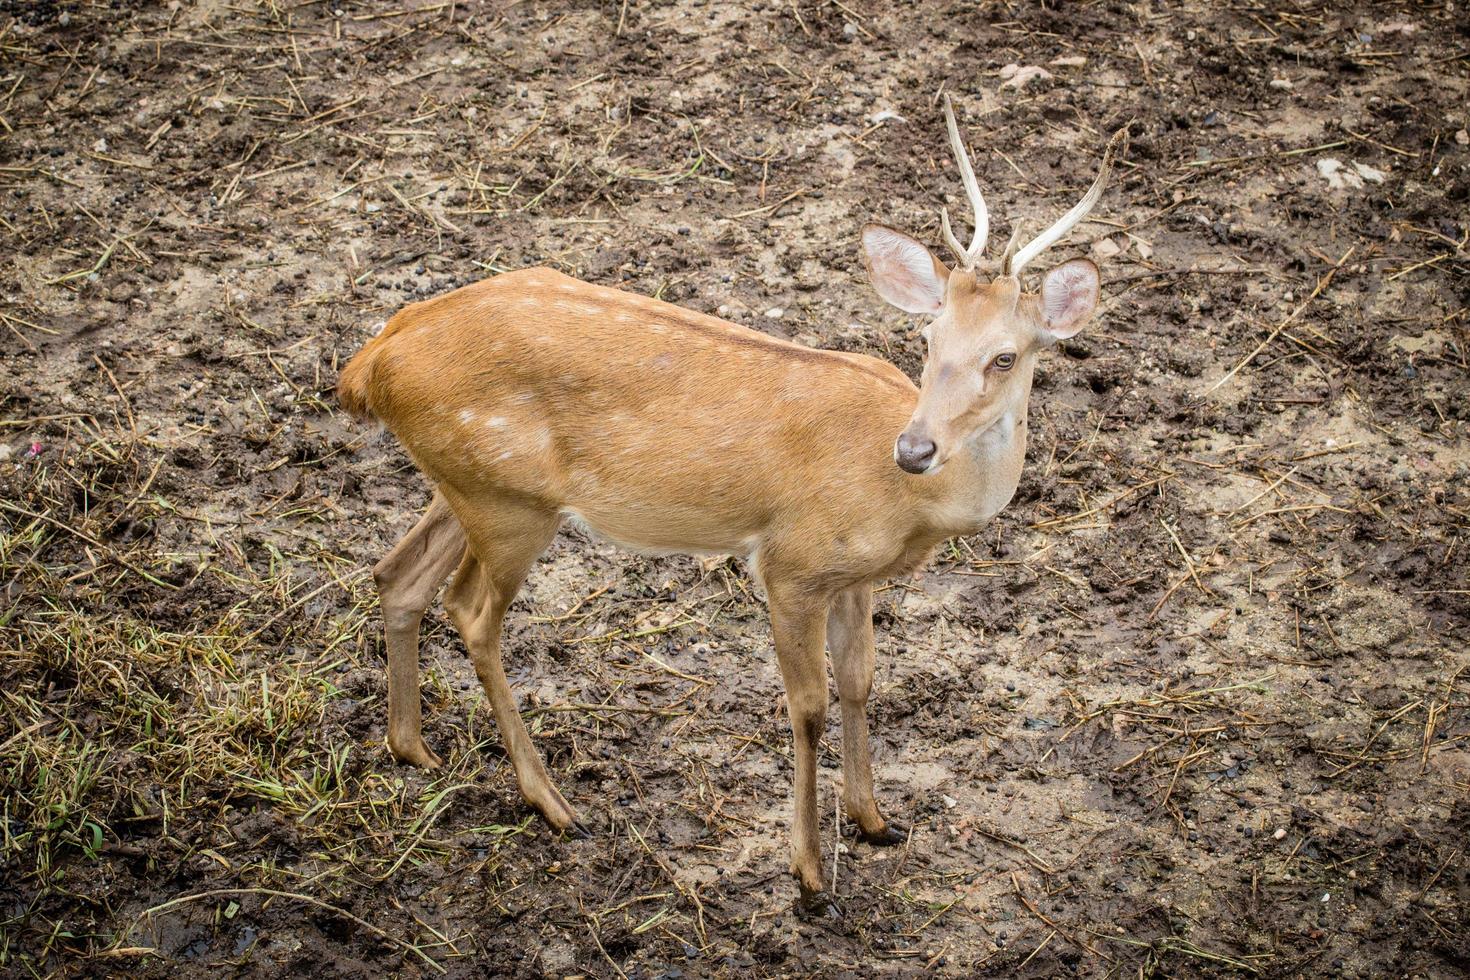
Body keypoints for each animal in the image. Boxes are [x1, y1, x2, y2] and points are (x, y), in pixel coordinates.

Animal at [341, 97, 1123, 910]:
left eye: (1005, 355)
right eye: (929, 335)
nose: (914, 448)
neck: (907, 506)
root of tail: (370, 361)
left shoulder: (855, 578)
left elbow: (862, 681)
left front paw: (875, 822)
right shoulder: (791, 564)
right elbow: (808, 708)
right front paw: (809, 874)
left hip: (468, 484)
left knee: (396, 574)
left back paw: (414, 748)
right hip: (509, 505)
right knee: (469, 612)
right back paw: (553, 803)